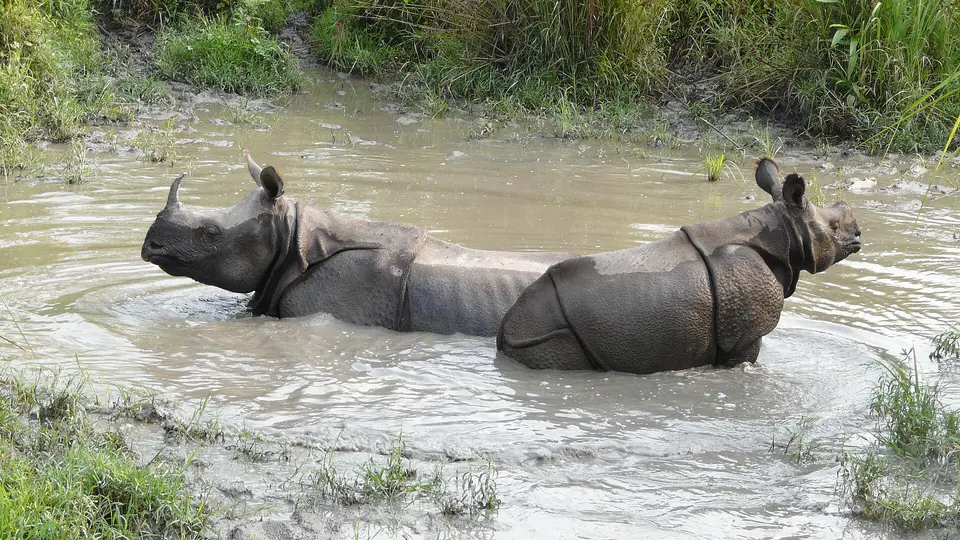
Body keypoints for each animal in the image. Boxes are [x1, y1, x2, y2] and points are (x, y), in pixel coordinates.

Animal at [496, 158, 862, 374]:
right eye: (833, 226)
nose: (859, 234)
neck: (783, 231)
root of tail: (507, 329)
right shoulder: (744, 335)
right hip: (549, 336)